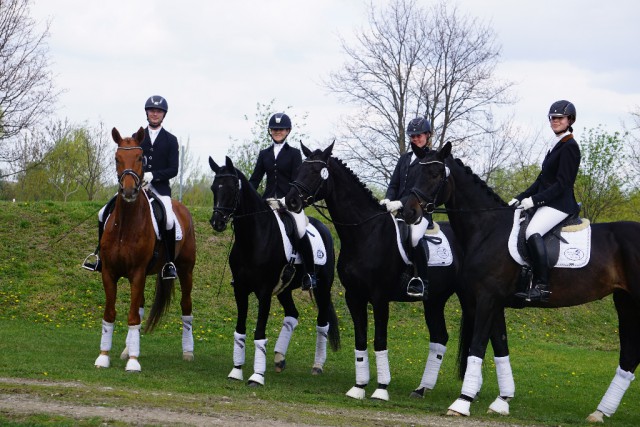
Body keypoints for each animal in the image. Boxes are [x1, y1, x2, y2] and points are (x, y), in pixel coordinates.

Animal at [94, 127, 196, 372]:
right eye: (116, 158)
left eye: (140, 158)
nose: (129, 191)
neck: (126, 225)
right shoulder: (109, 272)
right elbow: (110, 313)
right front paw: (104, 356)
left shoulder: (137, 272)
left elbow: (132, 317)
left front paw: (134, 361)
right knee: (139, 306)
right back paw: (127, 349)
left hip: (185, 270)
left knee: (186, 306)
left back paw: (188, 352)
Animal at [209, 157, 340, 388]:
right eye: (214, 188)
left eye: (232, 188)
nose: (217, 222)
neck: (253, 236)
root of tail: (323, 227)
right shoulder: (240, 290)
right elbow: (240, 330)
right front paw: (236, 371)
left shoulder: (263, 292)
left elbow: (259, 332)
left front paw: (256, 376)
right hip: (284, 289)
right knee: (292, 315)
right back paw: (279, 357)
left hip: (322, 288)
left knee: (322, 323)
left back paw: (317, 365)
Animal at [282, 142, 498, 402]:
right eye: (300, 169)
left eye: (315, 172)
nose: (291, 201)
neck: (366, 232)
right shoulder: (354, 296)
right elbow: (361, 339)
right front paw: (359, 386)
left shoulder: (379, 298)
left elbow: (379, 340)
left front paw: (381, 388)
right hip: (434, 300)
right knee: (440, 338)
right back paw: (422, 388)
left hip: (469, 297)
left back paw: (471, 391)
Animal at [404, 142, 640, 422]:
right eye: (414, 172)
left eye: (436, 174)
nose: (409, 212)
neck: (488, 229)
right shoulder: (493, 302)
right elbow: (500, 347)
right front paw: (502, 401)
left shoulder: (486, 299)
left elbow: (478, 346)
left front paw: (462, 402)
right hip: (625, 303)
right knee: (629, 354)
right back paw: (600, 412)